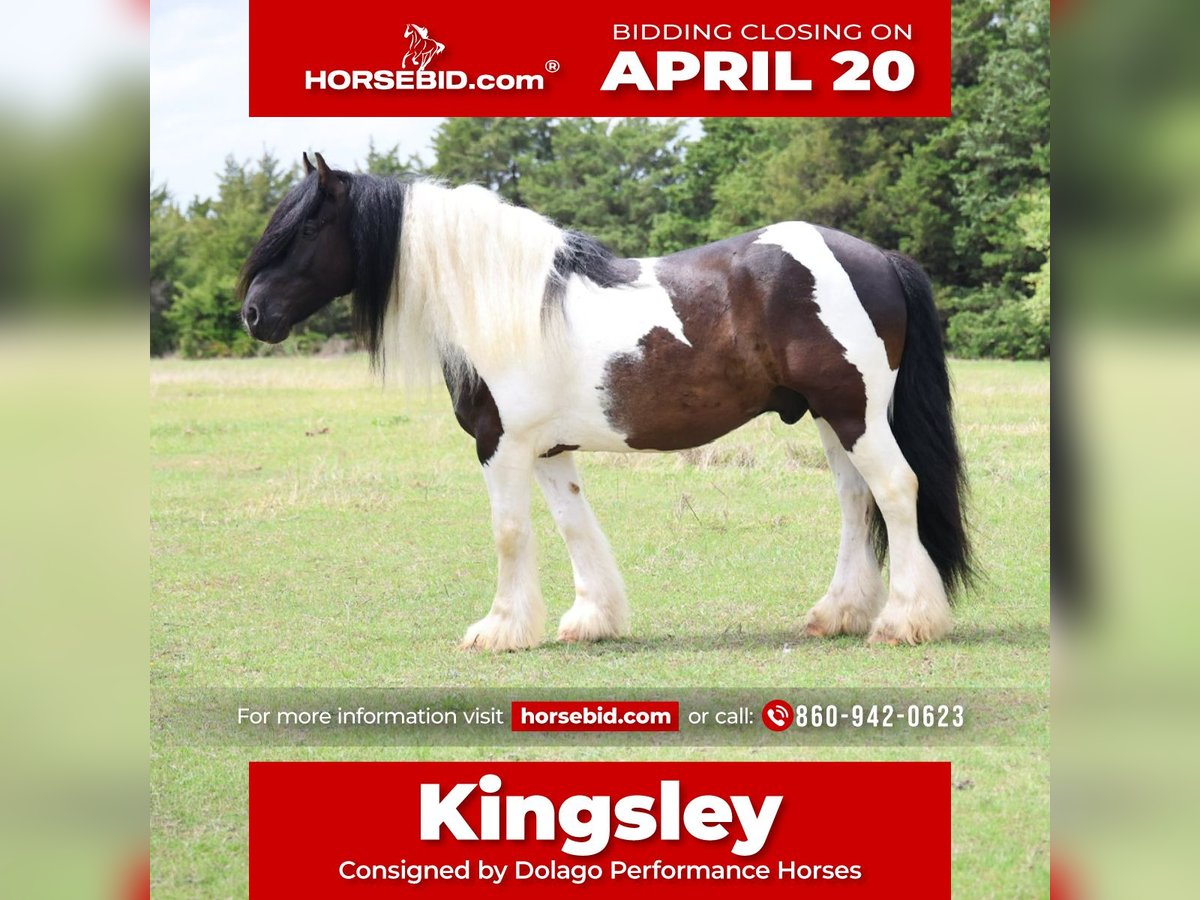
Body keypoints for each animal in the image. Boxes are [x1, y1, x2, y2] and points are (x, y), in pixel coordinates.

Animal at [238, 153, 973, 651]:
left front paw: (499, 630)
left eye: (307, 229)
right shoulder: (547, 450)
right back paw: (837, 614)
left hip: (854, 412)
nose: (252, 314)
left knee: (896, 489)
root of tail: (878, 256)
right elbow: (573, 526)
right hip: (831, 415)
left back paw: (904, 620)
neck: (501, 303)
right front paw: (592, 619)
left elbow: (510, 533)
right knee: (856, 501)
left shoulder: (500, 446)